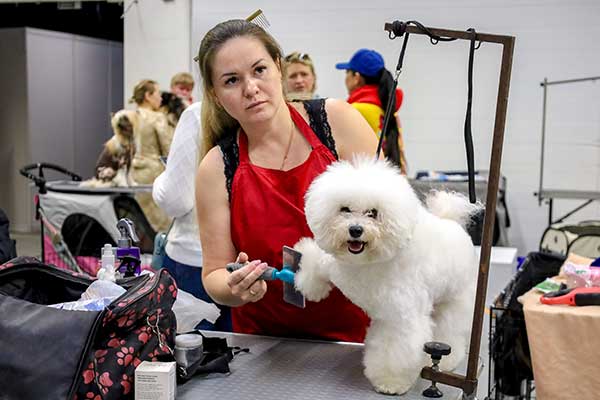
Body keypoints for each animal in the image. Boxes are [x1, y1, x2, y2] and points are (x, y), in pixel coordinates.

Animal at [294, 156, 480, 395]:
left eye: (373, 213)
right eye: (345, 209)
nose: (355, 230)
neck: (369, 262)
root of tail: (453, 223)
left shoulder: (400, 318)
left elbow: (396, 349)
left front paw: (390, 382)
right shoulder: (339, 268)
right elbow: (319, 261)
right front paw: (309, 283)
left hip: (454, 301)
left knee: (449, 331)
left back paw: (448, 360)